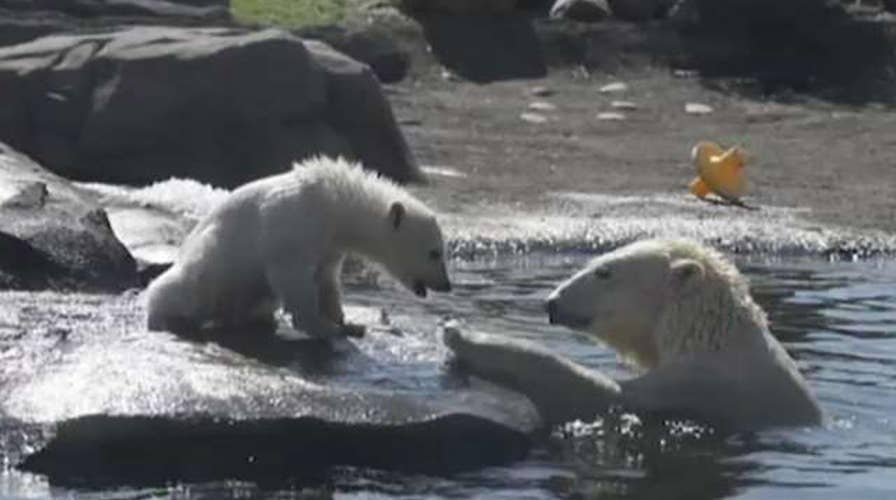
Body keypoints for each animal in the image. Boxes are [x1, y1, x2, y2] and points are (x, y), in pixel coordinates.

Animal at [146, 156, 452, 339]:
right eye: (435, 252)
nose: (447, 285)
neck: (335, 202)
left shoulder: (330, 243)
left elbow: (327, 278)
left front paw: (348, 323)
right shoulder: (296, 225)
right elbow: (293, 276)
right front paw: (323, 327)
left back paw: (258, 318)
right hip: (214, 258)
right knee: (185, 285)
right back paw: (171, 317)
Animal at [444, 238, 823, 432]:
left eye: (604, 272)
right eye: (595, 262)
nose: (551, 303)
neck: (708, 337)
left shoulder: (703, 385)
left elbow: (603, 394)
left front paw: (463, 334)